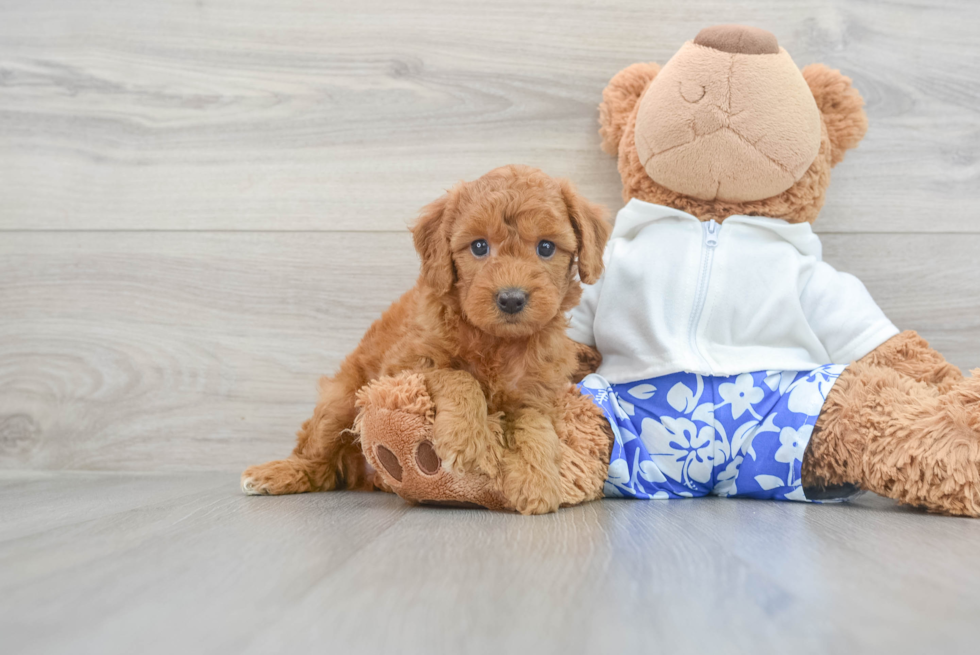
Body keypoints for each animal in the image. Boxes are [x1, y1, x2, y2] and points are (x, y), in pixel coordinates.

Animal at [241, 164, 608, 512]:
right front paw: (465, 437)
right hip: (339, 402)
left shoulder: (536, 393)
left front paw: (537, 481)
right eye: (479, 246)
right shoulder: (403, 366)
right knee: (320, 463)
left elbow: (536, 426)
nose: (511, 299)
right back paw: (278, 473)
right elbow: (458, 377)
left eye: (545, 247)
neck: (497, 342)